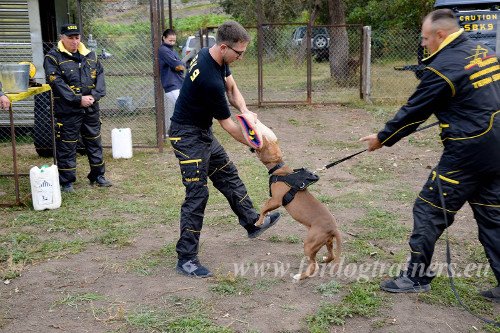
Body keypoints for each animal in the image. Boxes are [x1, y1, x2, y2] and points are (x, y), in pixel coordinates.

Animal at [247, 118, 344, 278]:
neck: (279, 169)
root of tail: (333, 228)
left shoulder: (276, 200)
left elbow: (263, 207)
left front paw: (259, 221)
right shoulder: (274, 200)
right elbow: (265, 207)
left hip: (309, 244)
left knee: (313, 266)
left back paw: (300, 276)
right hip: (327, 242)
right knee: (331, 256)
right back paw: (324, 259)